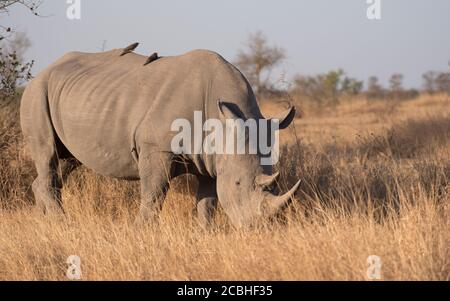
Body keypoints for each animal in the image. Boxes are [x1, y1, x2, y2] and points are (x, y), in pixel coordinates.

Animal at [22, 44, 302, 226]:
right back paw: (62, 224)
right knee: (47, 153)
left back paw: (44, 224)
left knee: (65, 161)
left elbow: (207, 202)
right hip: (37, 92)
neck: (223, 124)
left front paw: (205, 234)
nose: (257, 227)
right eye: (238, 184)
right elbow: (153, 195)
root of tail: (45, 70)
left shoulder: (210, 158)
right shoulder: (156, 147)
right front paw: (140, 232)